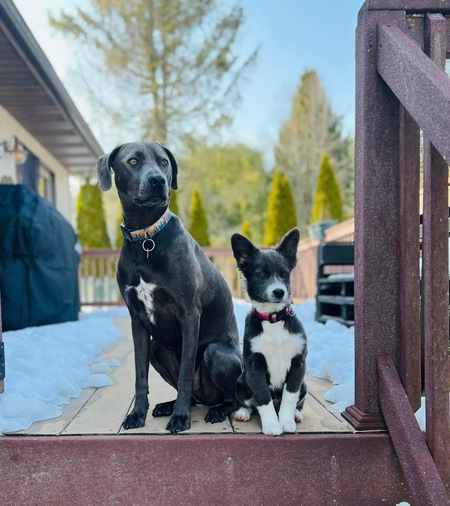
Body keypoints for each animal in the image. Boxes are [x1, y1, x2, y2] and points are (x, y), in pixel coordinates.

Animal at [96, 140, 243, 432]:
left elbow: (185, 373)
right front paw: (137, 414)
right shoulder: (137, 320)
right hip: (157, 349)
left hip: (218, 353)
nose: (158, 180)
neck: (146, 236)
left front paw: (181, 418)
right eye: (133, 161)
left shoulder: (189, 313)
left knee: (231, 397)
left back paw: (217, 410)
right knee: (192, 394)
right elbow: (140, 376)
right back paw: (169, 405)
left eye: (163, 162)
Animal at [230, 229, 308, 434]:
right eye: (261, 274)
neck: (273, 320)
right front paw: (272, 425)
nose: (279, 292)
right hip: (240, 382)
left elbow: (290, 396)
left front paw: (286, 421)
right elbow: (263, 398)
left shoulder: (298, 363)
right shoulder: (254, 366)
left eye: (285, 274)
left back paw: (296, 414)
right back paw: (243, 412)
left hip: (304, 384)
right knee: (249, 403)